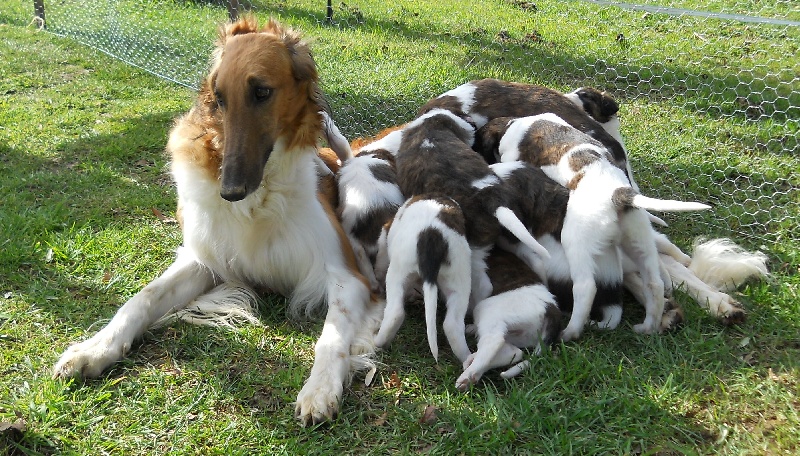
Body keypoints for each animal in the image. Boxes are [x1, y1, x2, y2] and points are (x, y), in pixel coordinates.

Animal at [53, 16, 384, 426]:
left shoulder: (347, 275)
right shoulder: (207, 259)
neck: (258, 202)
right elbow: (143, 297)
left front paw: (320, 389)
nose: (229, 190)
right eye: (220, 97)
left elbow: (333, 335)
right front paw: (94, 348)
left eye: (262, 92)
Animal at [372, 196, 472, 364]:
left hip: (398, 272)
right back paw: (467, 359)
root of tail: (432, 235)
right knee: (453, 324)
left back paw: (378, 342)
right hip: (458, 279)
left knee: (395, 312)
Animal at [392, 108, 552, 316]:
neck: (430, 124)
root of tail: (494, 202)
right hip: (510, 235)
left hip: (475, 250)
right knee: (536, 261)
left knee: (484, 285)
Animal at [456, 248, 564, 390]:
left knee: (494, 341)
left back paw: (468, 375)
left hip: (487, 309)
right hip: (522, 334)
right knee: (515, 352)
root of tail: (551, 307)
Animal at [476, 114, 708, 342]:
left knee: (586, 288)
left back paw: (570, 332)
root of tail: (619, 192)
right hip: (638, 239)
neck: (514, 124)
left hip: (576, 242)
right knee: (654, 284)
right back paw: (647, 327)